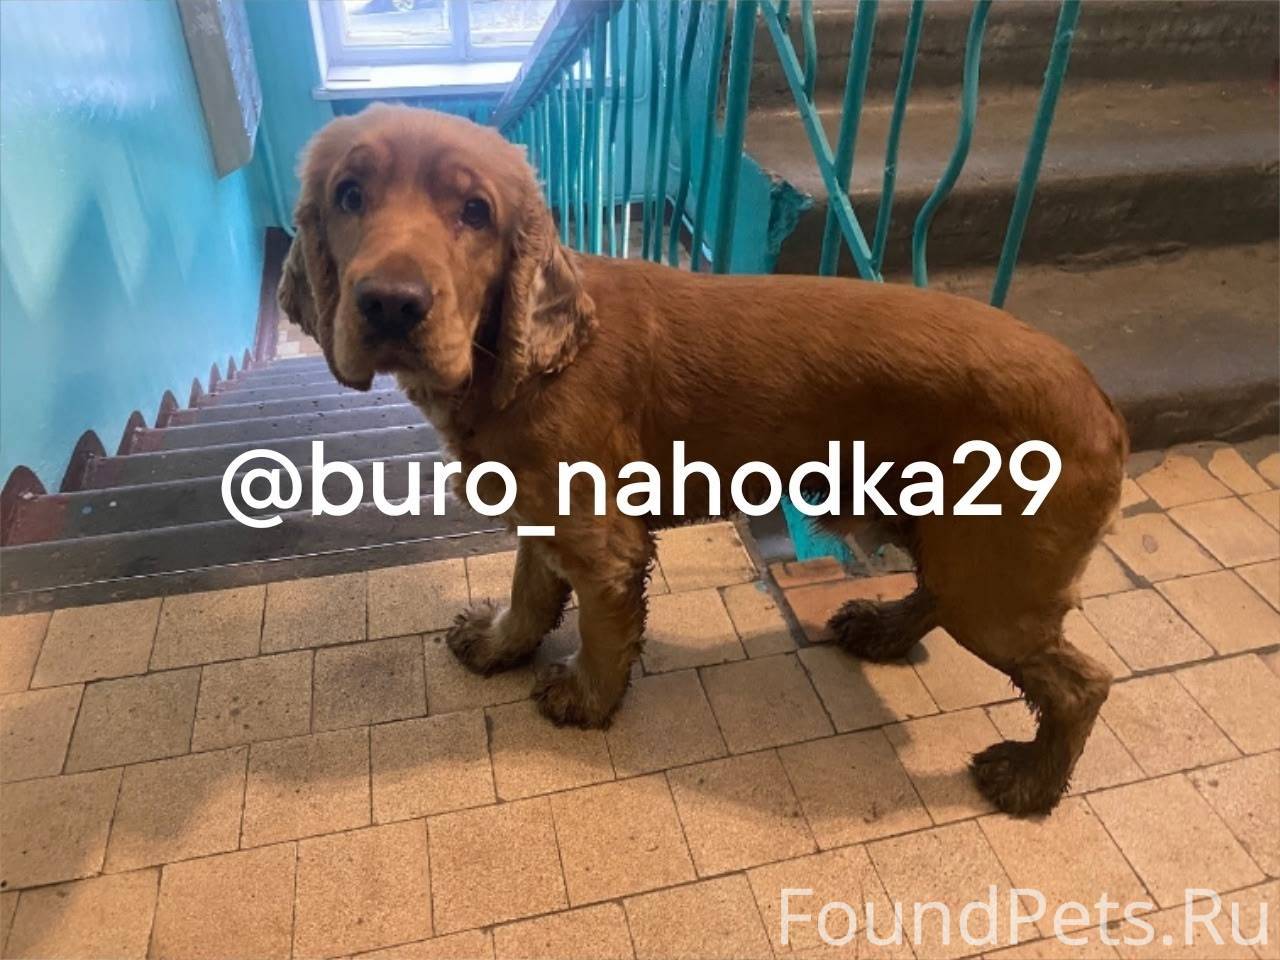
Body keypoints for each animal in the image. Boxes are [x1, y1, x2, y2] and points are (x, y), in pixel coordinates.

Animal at [279, 105, 1128, 815]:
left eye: (475, 213)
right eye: (349, 195)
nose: (391, 304)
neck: (529, 359)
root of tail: (1101, 399)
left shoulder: (602, 539)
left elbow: (600, 629)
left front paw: (584, 700)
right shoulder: (541, 511)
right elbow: (529, 592)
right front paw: (498, 646)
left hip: (995, 577)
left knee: (1082, 684)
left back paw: (1029, 782)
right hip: (937, 531)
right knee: (936, 595)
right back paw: (884, 631)